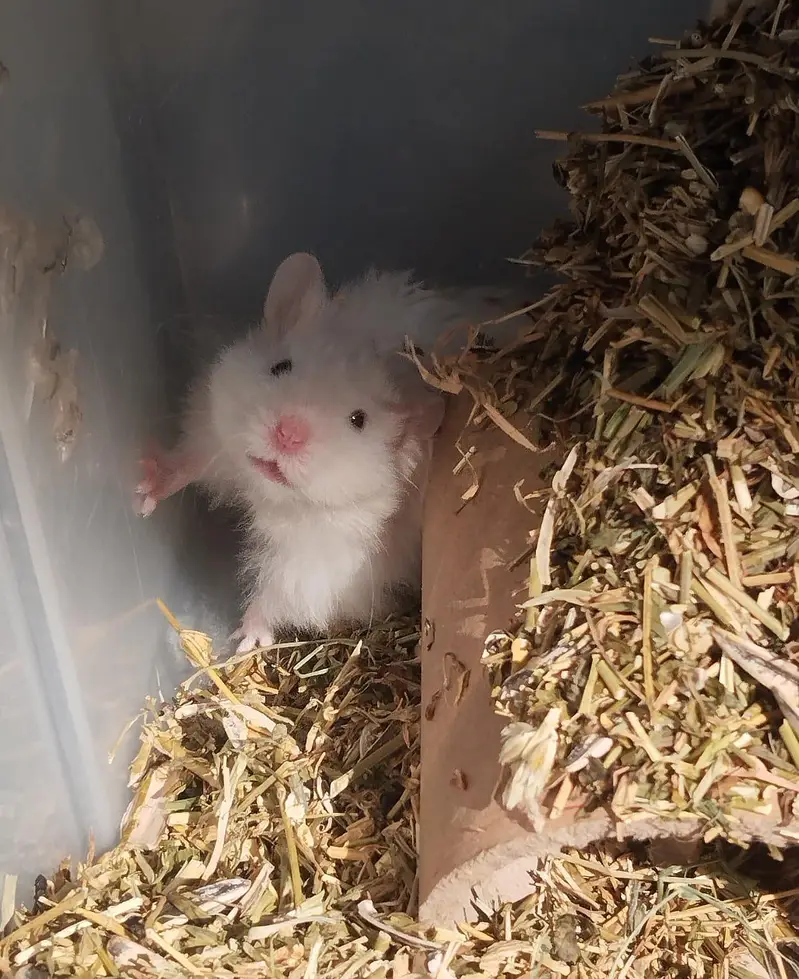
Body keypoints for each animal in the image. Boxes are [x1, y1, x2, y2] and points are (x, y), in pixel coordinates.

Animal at [135, 252, 517, 651]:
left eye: (358, 419)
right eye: (281, 366)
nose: (286, 435)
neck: (269, 494)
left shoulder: (322, 564)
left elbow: (278, 594)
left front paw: (245, 641)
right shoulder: (214, 432)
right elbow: (189, 463)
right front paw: (143, 494)